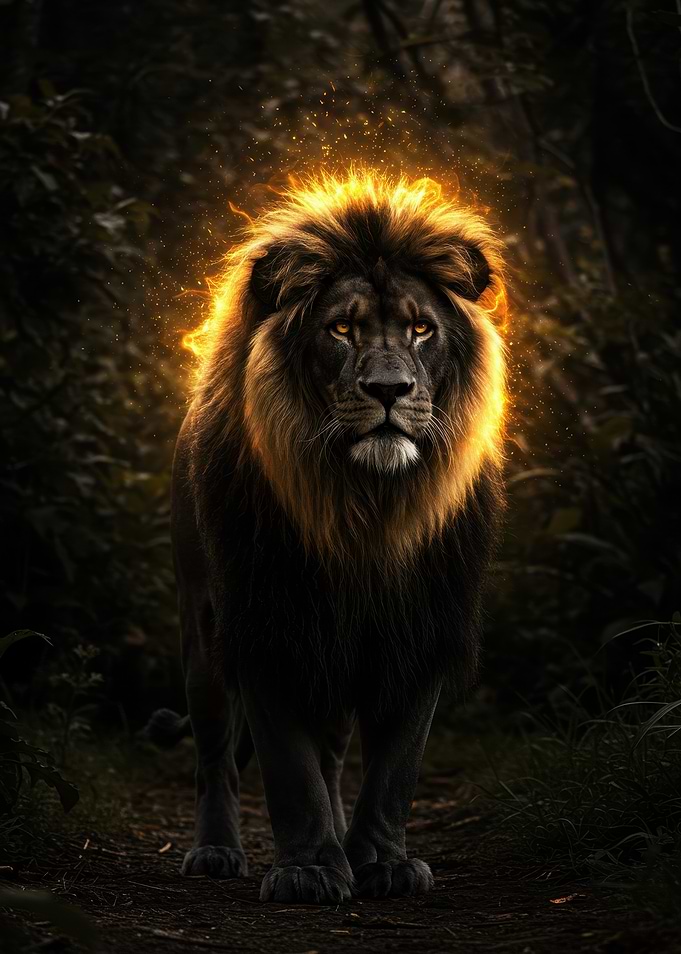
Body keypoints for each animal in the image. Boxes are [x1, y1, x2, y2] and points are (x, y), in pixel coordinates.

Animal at [146, 173, 507, 904]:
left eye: (420, 329)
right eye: (341, 329)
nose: (390, 389)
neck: (365, 507)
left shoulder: (419, 627)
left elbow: (396, 768)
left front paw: (382, 862)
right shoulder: (265, 623)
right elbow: (288, 768)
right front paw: (309, 869)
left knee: (336, 753)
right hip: (203, 633)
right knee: (215, 756)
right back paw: (216, 850)